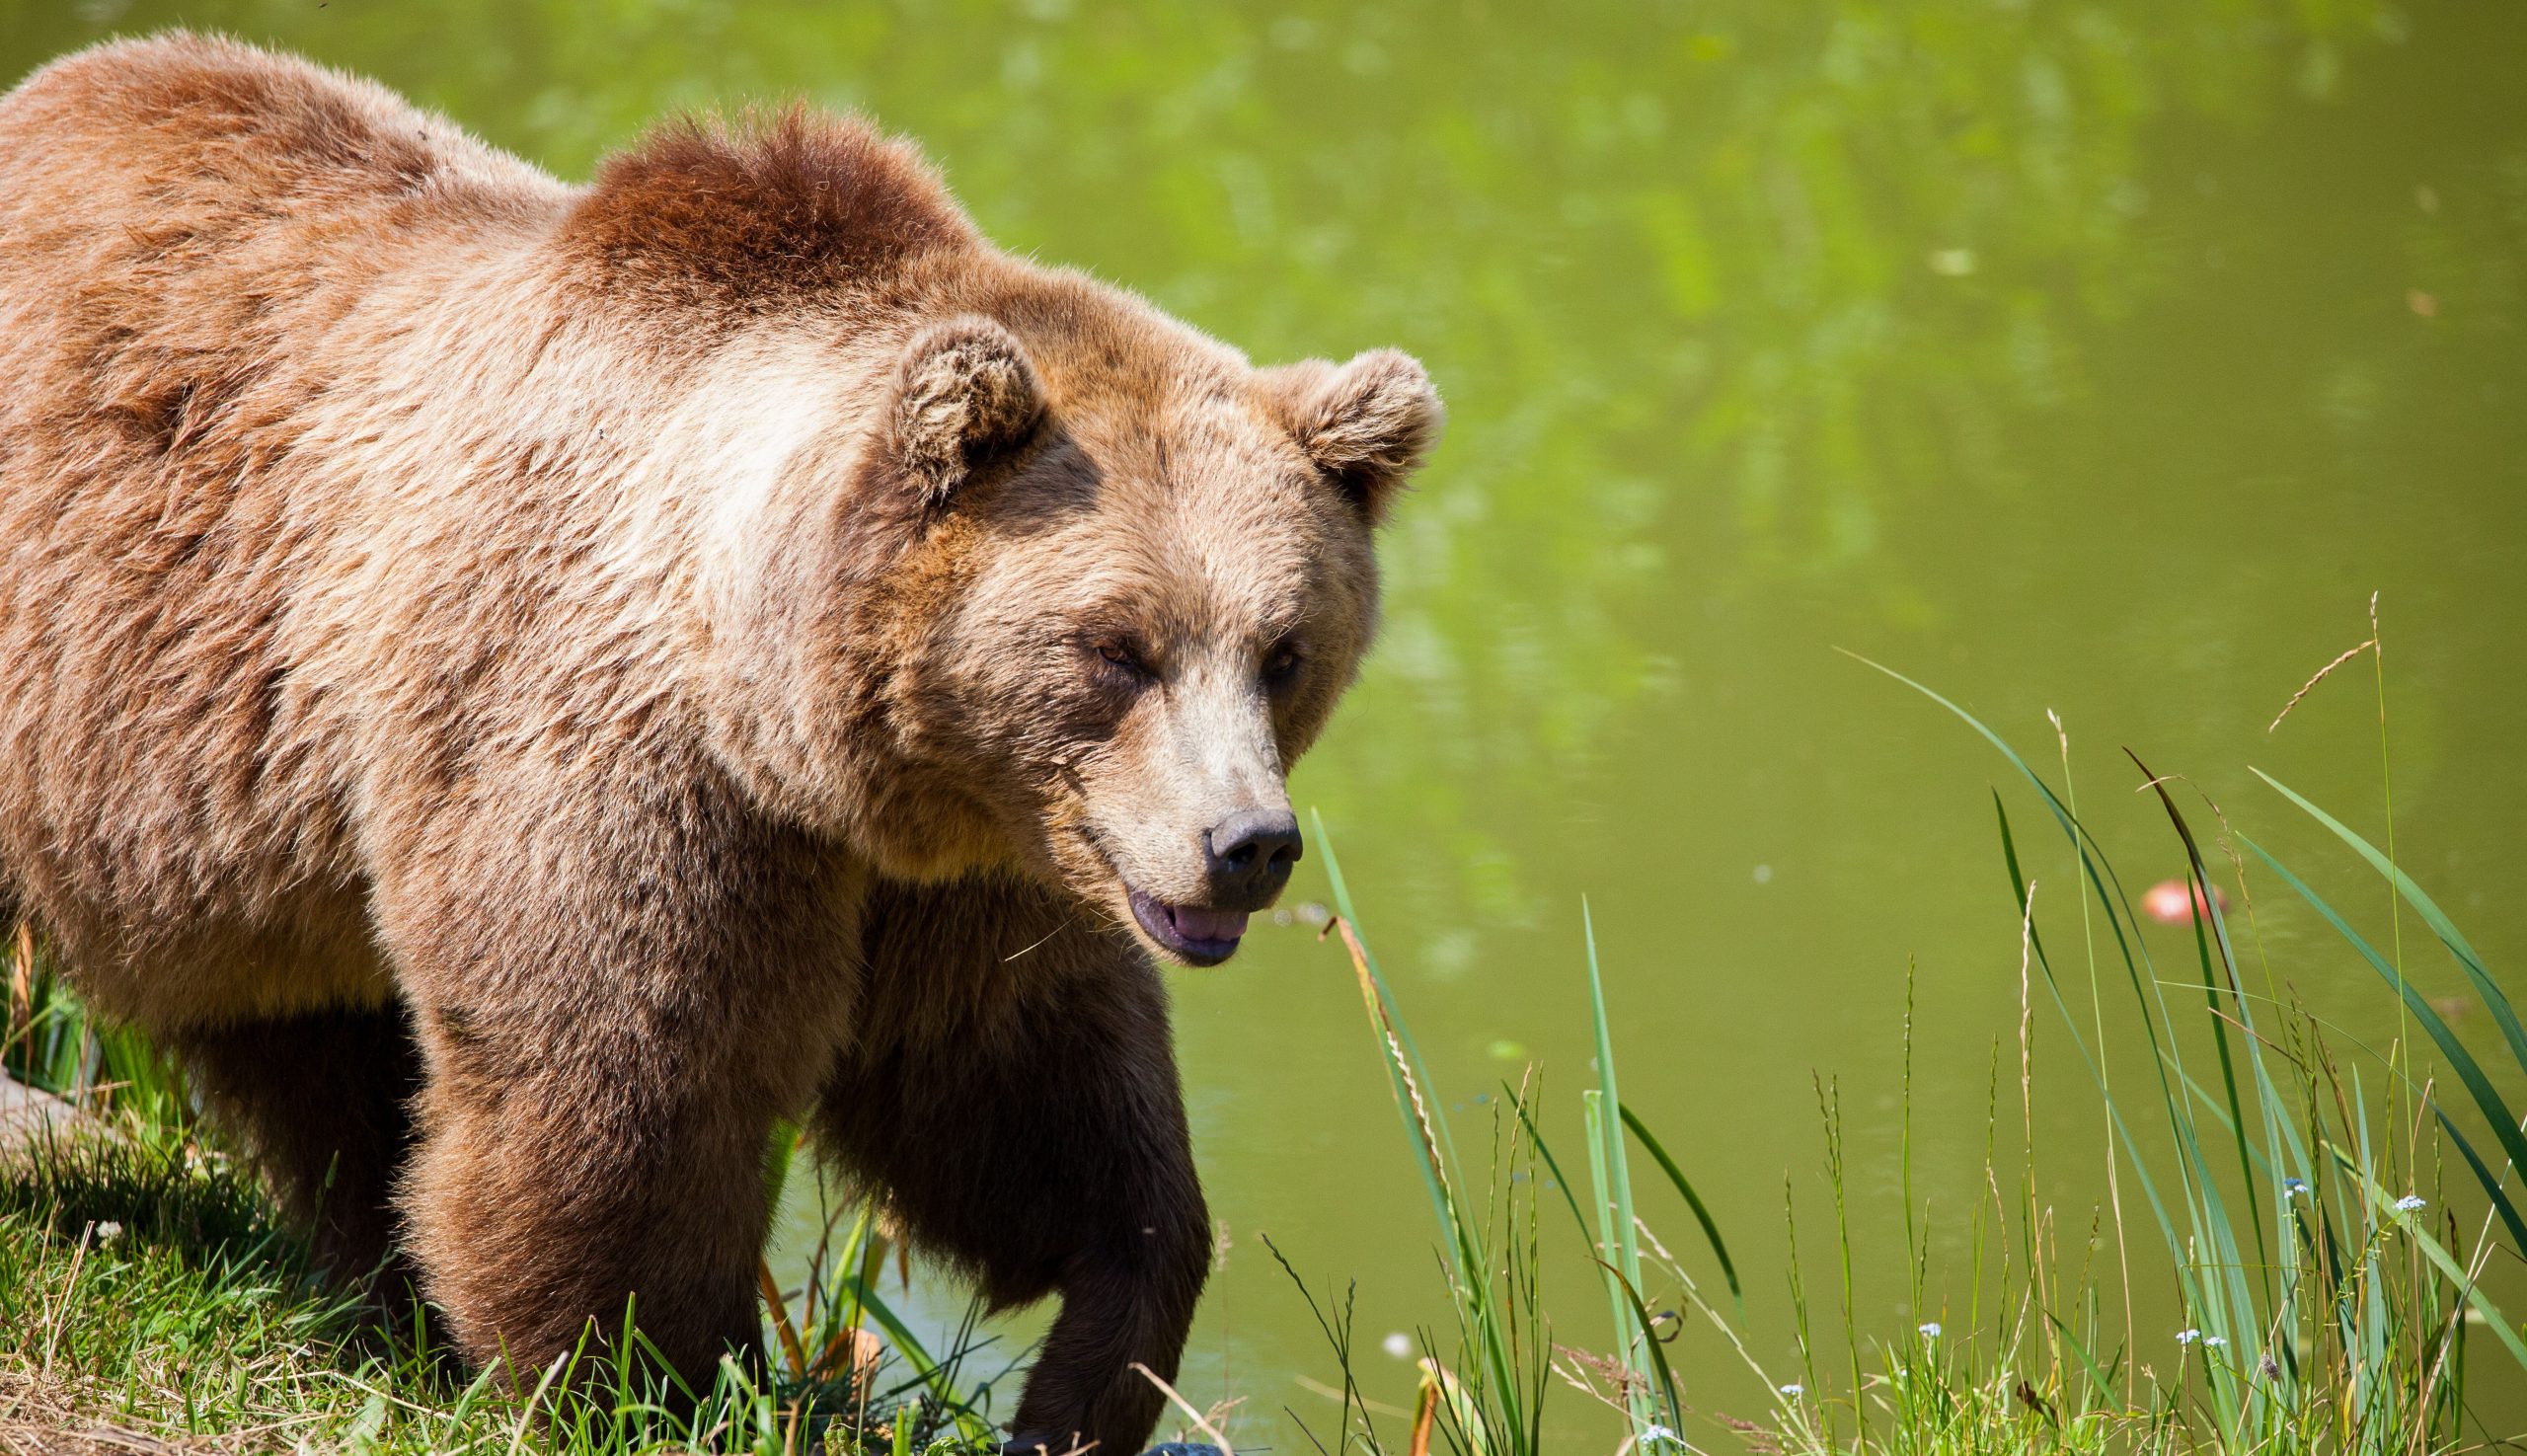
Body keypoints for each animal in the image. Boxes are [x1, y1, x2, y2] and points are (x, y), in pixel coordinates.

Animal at [0, 34, 1435, 1456]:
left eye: (1283, 648)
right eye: (1117, 646)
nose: (1247, 842)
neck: (793, 720)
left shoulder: (974, 860)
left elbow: (1017, 1089)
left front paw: (1089, 1370)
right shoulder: (619, 757)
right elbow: (623, 1096)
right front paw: (658, 1382)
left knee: (308, 1042)